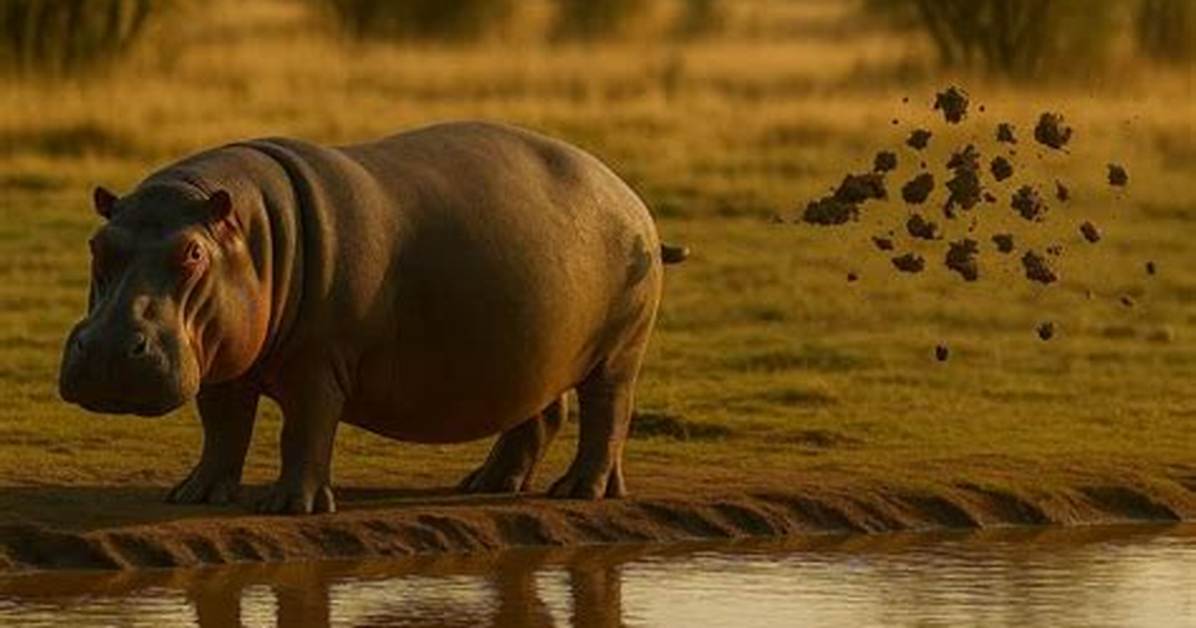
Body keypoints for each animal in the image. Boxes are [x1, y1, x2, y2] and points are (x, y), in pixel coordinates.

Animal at [58, 121, 687, 514]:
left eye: (191, 253)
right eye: (96, 244)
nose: (109, 349)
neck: (251, 234)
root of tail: (630, 196)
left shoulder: (317, 364)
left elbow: (304, 429)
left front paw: (288, 507)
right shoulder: (223, 360)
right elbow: (222, 428)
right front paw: (194, 495)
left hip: (619, 352)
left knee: (607, 411)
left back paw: (577, 491)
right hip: (534, 350)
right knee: (538, 413)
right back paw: (485, 483)